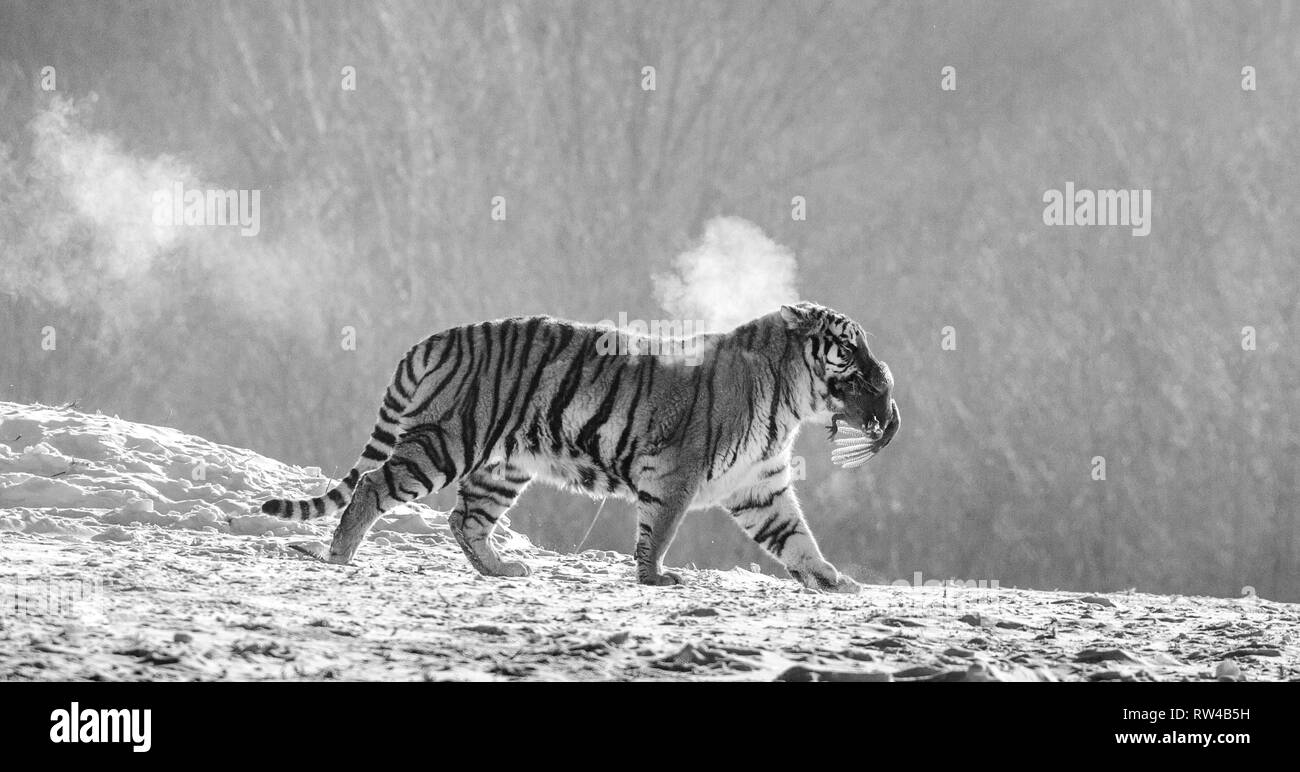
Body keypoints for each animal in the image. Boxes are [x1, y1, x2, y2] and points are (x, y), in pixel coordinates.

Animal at [258, 300, 899, 590]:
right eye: (850, 348)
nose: (884, 383)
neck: (790, 403)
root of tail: (436, 338)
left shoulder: (760, 486)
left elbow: (797, 538)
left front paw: (834, 580)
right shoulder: (676, 473)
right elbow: (659, 530)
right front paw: (655, 577)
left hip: (502, 466)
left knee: (465, 519)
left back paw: (502, 568)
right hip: (447, 441)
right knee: (372, 485)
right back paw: (340, 556)